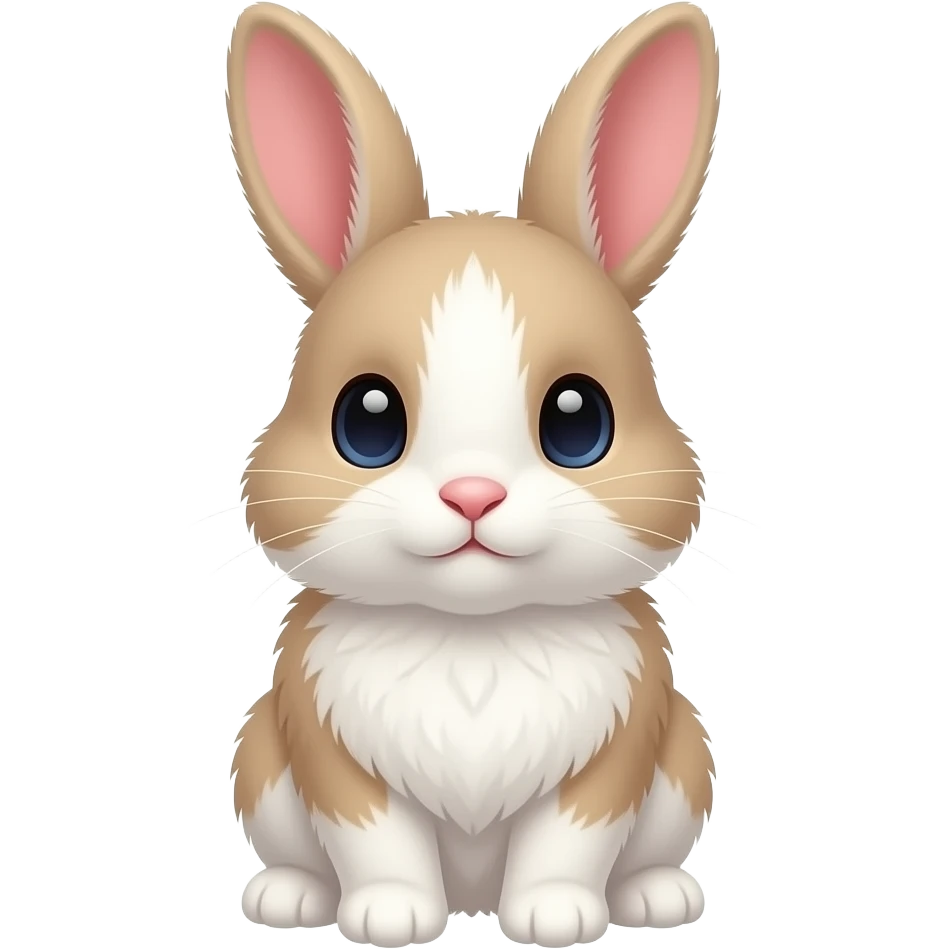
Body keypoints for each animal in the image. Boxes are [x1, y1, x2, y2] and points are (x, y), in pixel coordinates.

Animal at [226, 2, 720, 945]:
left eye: (579, 422)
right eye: (365, 422)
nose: (472, 495)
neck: (472, 638)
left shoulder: (616, 753)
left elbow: (571, 839)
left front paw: (556, 915)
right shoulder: (329, 753)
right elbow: (374, 838)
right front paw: (388, 915)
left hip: (685, 761)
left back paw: (654, 898)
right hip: (260, 763)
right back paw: (290, 897)